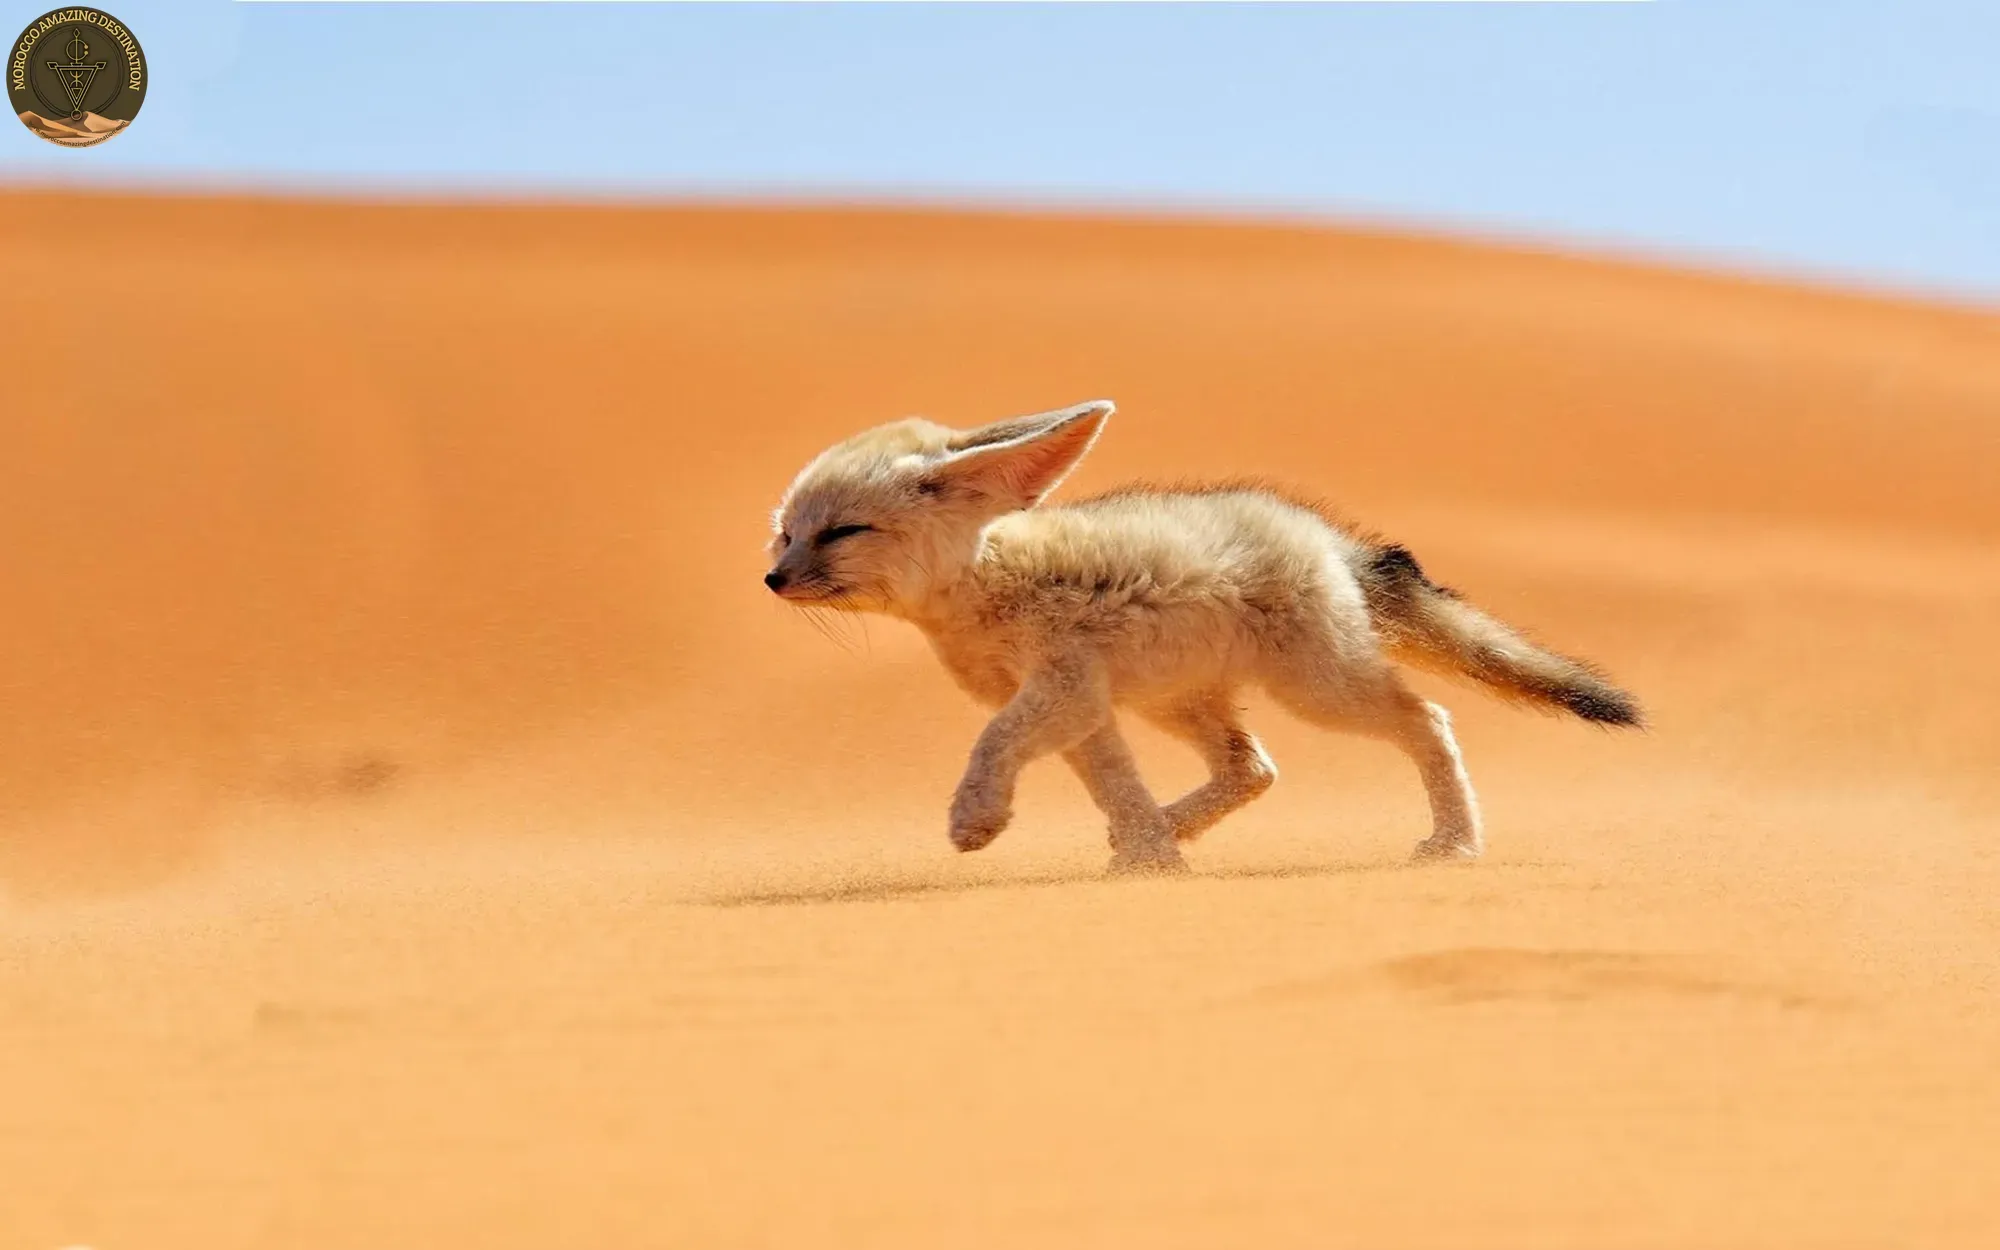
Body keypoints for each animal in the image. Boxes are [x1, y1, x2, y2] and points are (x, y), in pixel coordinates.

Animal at [765, 400, 1640, 875]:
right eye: (786, 534)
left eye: (841, 533)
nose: (773, 580)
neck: (985, 582)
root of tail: (1325, 535)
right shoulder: (1084, 708)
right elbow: (1113, 784)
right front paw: (1150, 858)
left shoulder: (1060, 689)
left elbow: (993, 743)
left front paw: (976, 818)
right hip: (1178, 702)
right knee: (1253, 768)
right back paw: (1167, 828)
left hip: (1319, 691)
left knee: (1427, 719)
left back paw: (1455, 841)